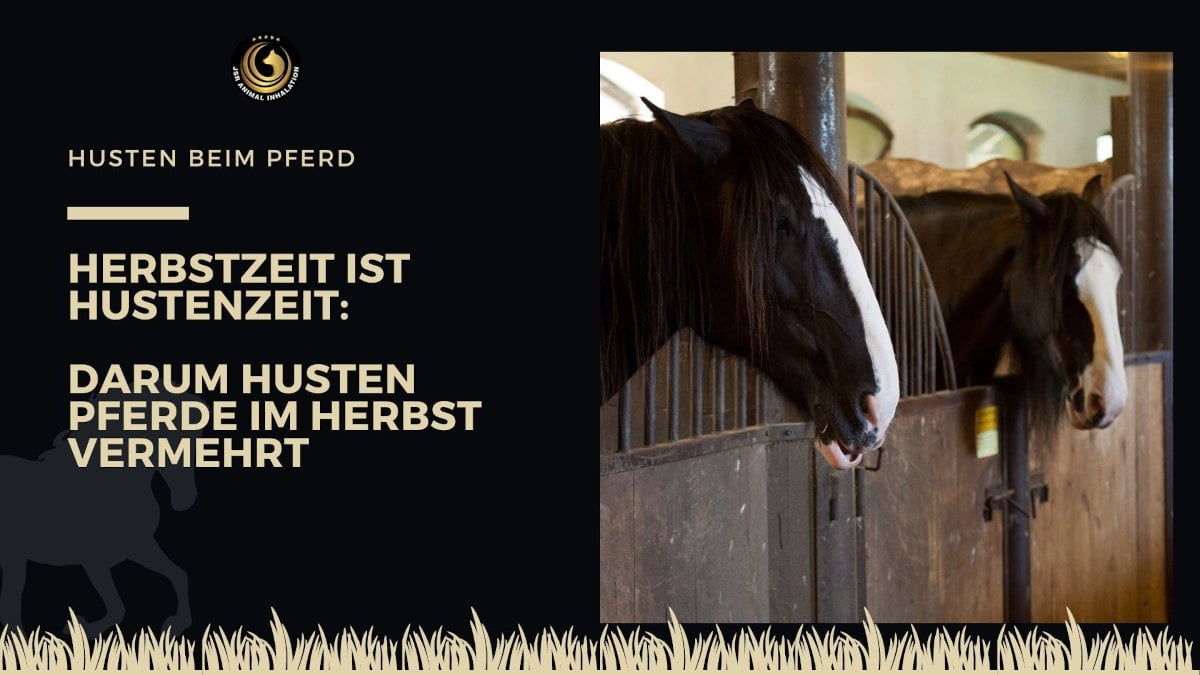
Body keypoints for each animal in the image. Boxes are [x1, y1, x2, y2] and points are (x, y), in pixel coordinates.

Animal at [0, 395, 199, 637]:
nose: (186, 499)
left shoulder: (140, 546)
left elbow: (179, 575)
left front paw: (177, 623)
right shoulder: (94, 560)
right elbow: (117, 609)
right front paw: (80, 628)